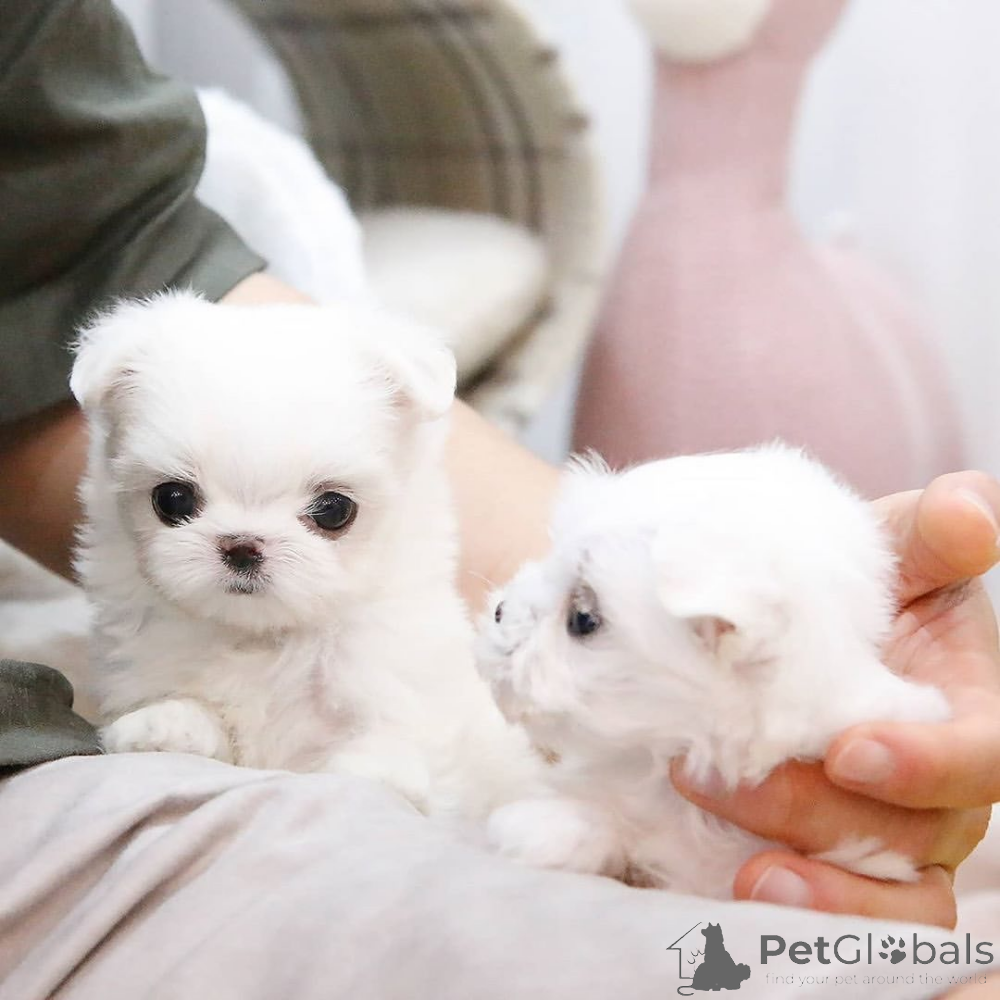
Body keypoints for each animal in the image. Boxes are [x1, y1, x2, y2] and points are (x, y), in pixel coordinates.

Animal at [71, 292, 537, 820]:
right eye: (172, 500)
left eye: (334, 510)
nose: (242, 545)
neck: (267, 637)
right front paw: (165, 726)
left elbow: (383, 756)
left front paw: (374, 774)